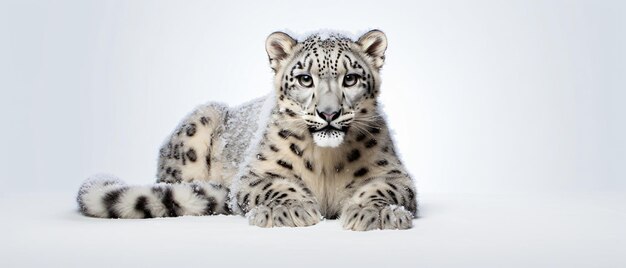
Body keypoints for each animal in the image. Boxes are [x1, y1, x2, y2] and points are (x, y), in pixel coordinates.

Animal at [79, 29, 420, 230]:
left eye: (350, 78)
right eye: (305, 79)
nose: (328, 113)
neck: (326, 162)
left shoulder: (393, 173)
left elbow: (382, 188)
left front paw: (375, 215)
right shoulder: (254, 173)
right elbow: (275, 185)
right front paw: (291, 211)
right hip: (200, 122)